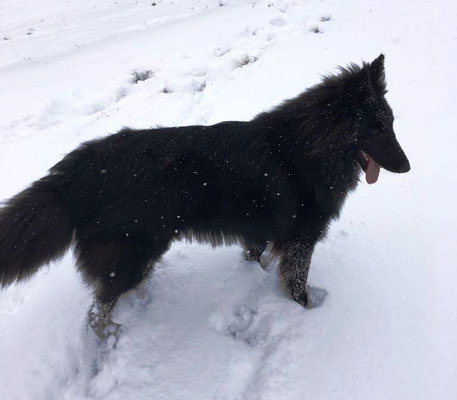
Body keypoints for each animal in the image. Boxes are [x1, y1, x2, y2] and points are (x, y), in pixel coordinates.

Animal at [0, 54, 410, 338]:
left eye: (390, 123)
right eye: (377, 128)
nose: (407, 167)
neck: (308, 148)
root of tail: (74, 171)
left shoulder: (260, 232)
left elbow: (256, 258)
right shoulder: (301, 239)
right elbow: (296, 283)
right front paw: (307, 315)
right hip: (132, 252)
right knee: (98, 308)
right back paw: (111, 332)